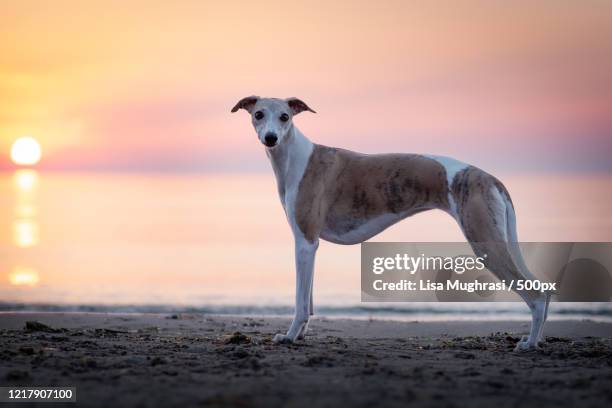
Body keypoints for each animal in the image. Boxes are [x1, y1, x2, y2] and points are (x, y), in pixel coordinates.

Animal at [232, 95, 552, 350]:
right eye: (259, 114)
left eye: (285, 117)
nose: (270, 137)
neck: (296, 157)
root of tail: (490, 178)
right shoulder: (309, 245)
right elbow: (308, 301)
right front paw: (299, 336)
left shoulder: (305, 242)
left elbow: (300, 303)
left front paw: (288, 336)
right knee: (543, 289)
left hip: (485, 240)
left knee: (536, 293)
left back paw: (529, 343)